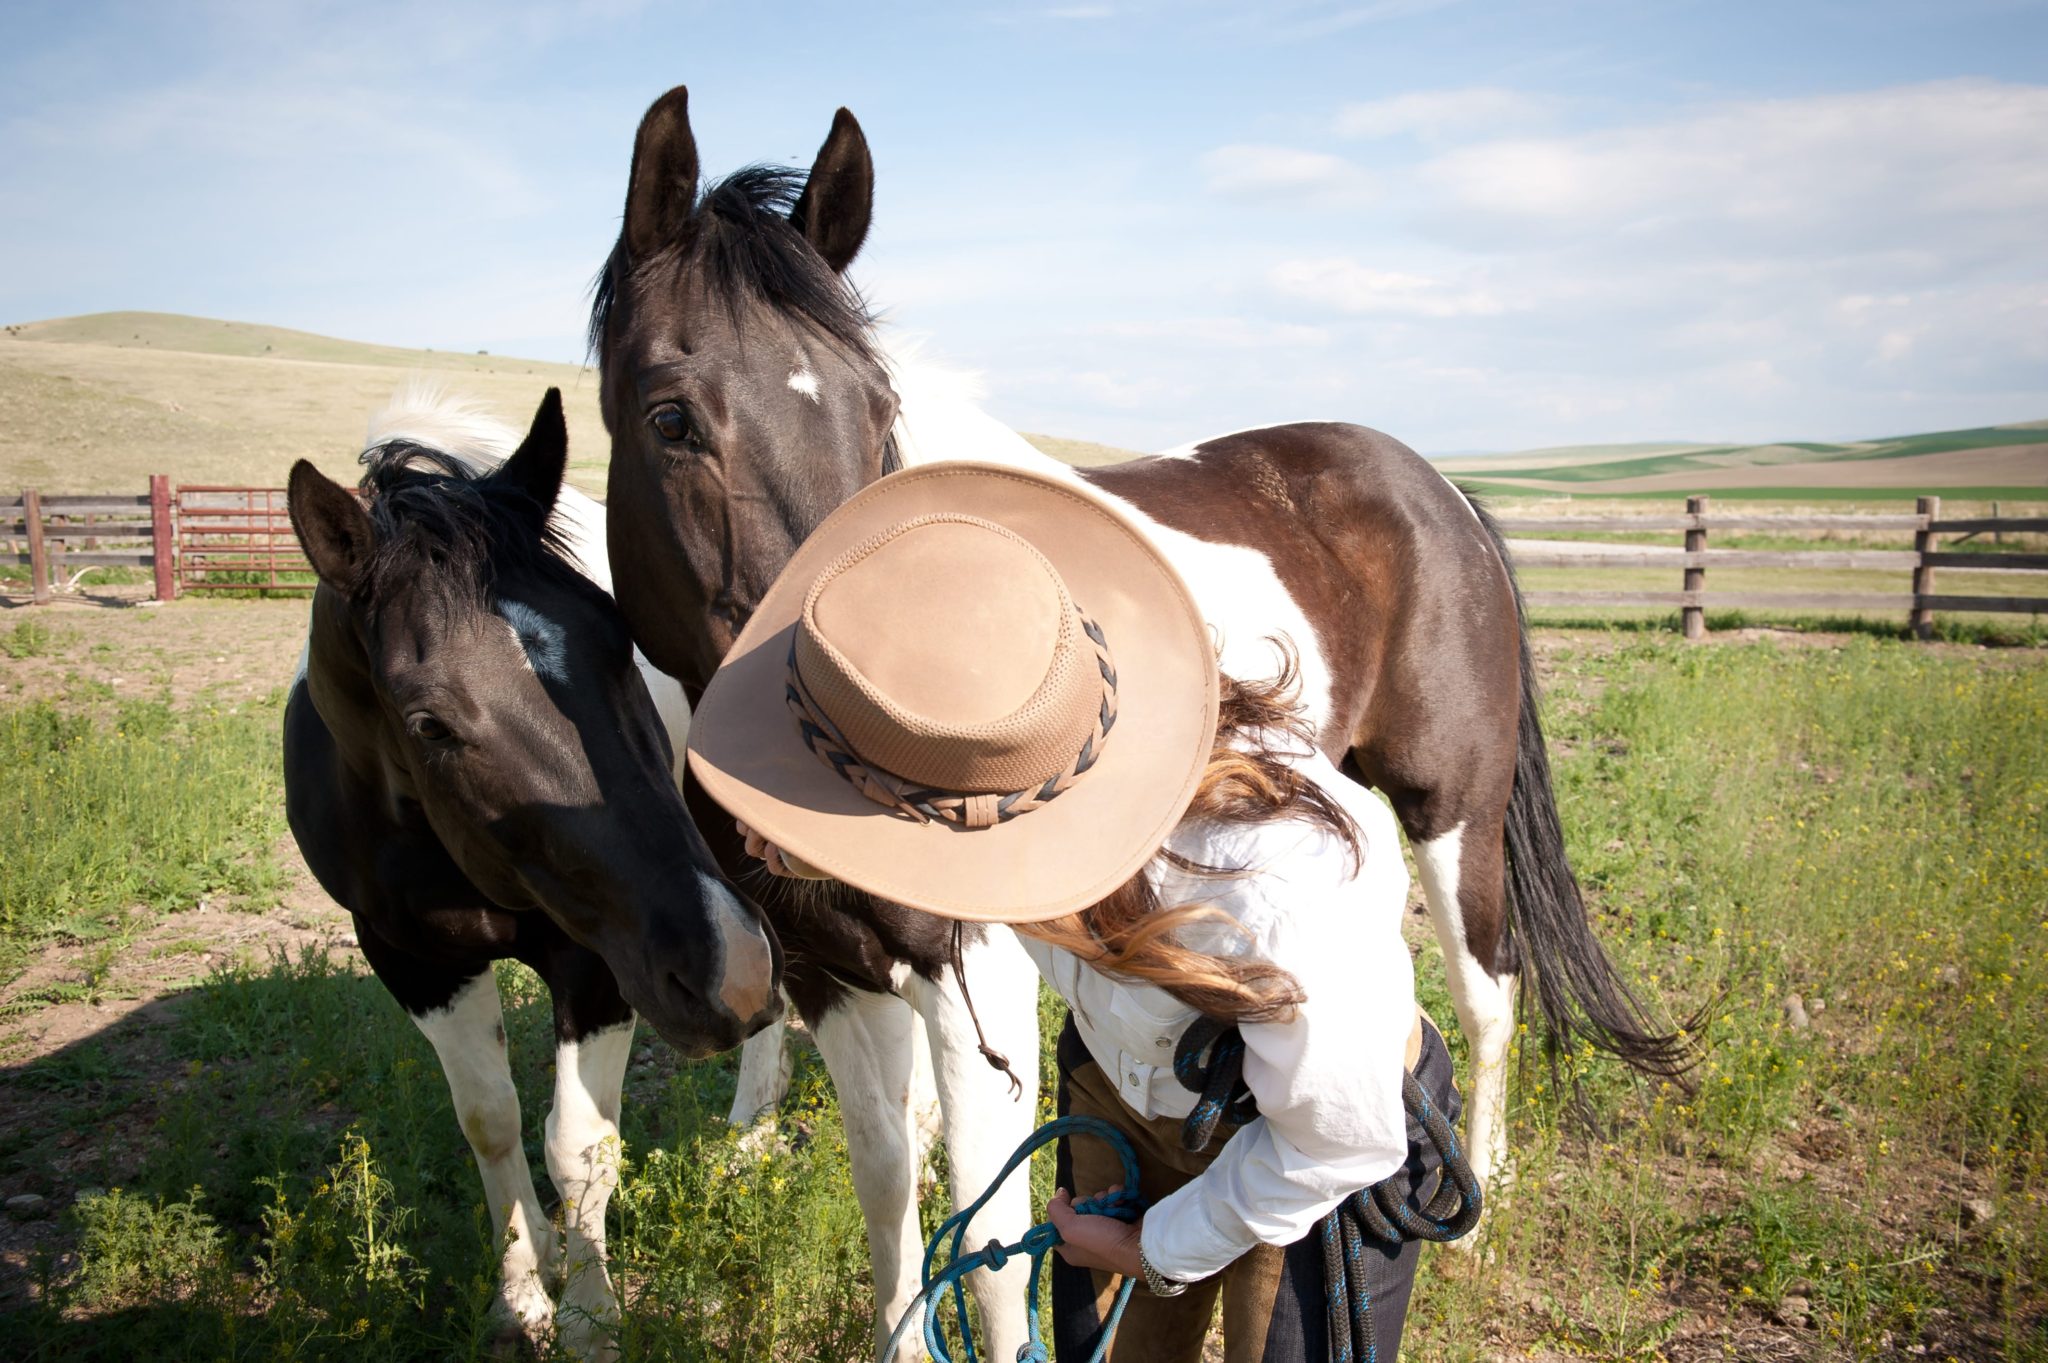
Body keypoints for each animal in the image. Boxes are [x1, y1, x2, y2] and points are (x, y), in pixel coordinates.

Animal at [280, 384, 774, 1358]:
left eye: (620, 639)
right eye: (427, 721)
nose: (723, 969)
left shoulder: (604, 958)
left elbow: (578, 1144)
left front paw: (590, 1316)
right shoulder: (417, 960)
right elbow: (491, 1122)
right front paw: (523, 1291)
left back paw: (762, 1139)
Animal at [585, 84, 1687, 1350]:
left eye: (880, 414)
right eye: (671, 418)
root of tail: (1434, 485)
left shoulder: (979, 992)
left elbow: (990, 1255)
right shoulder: (835, 975)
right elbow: (888, 1204)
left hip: (1452, 807)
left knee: (1483, 992)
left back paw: (1477, 1210)